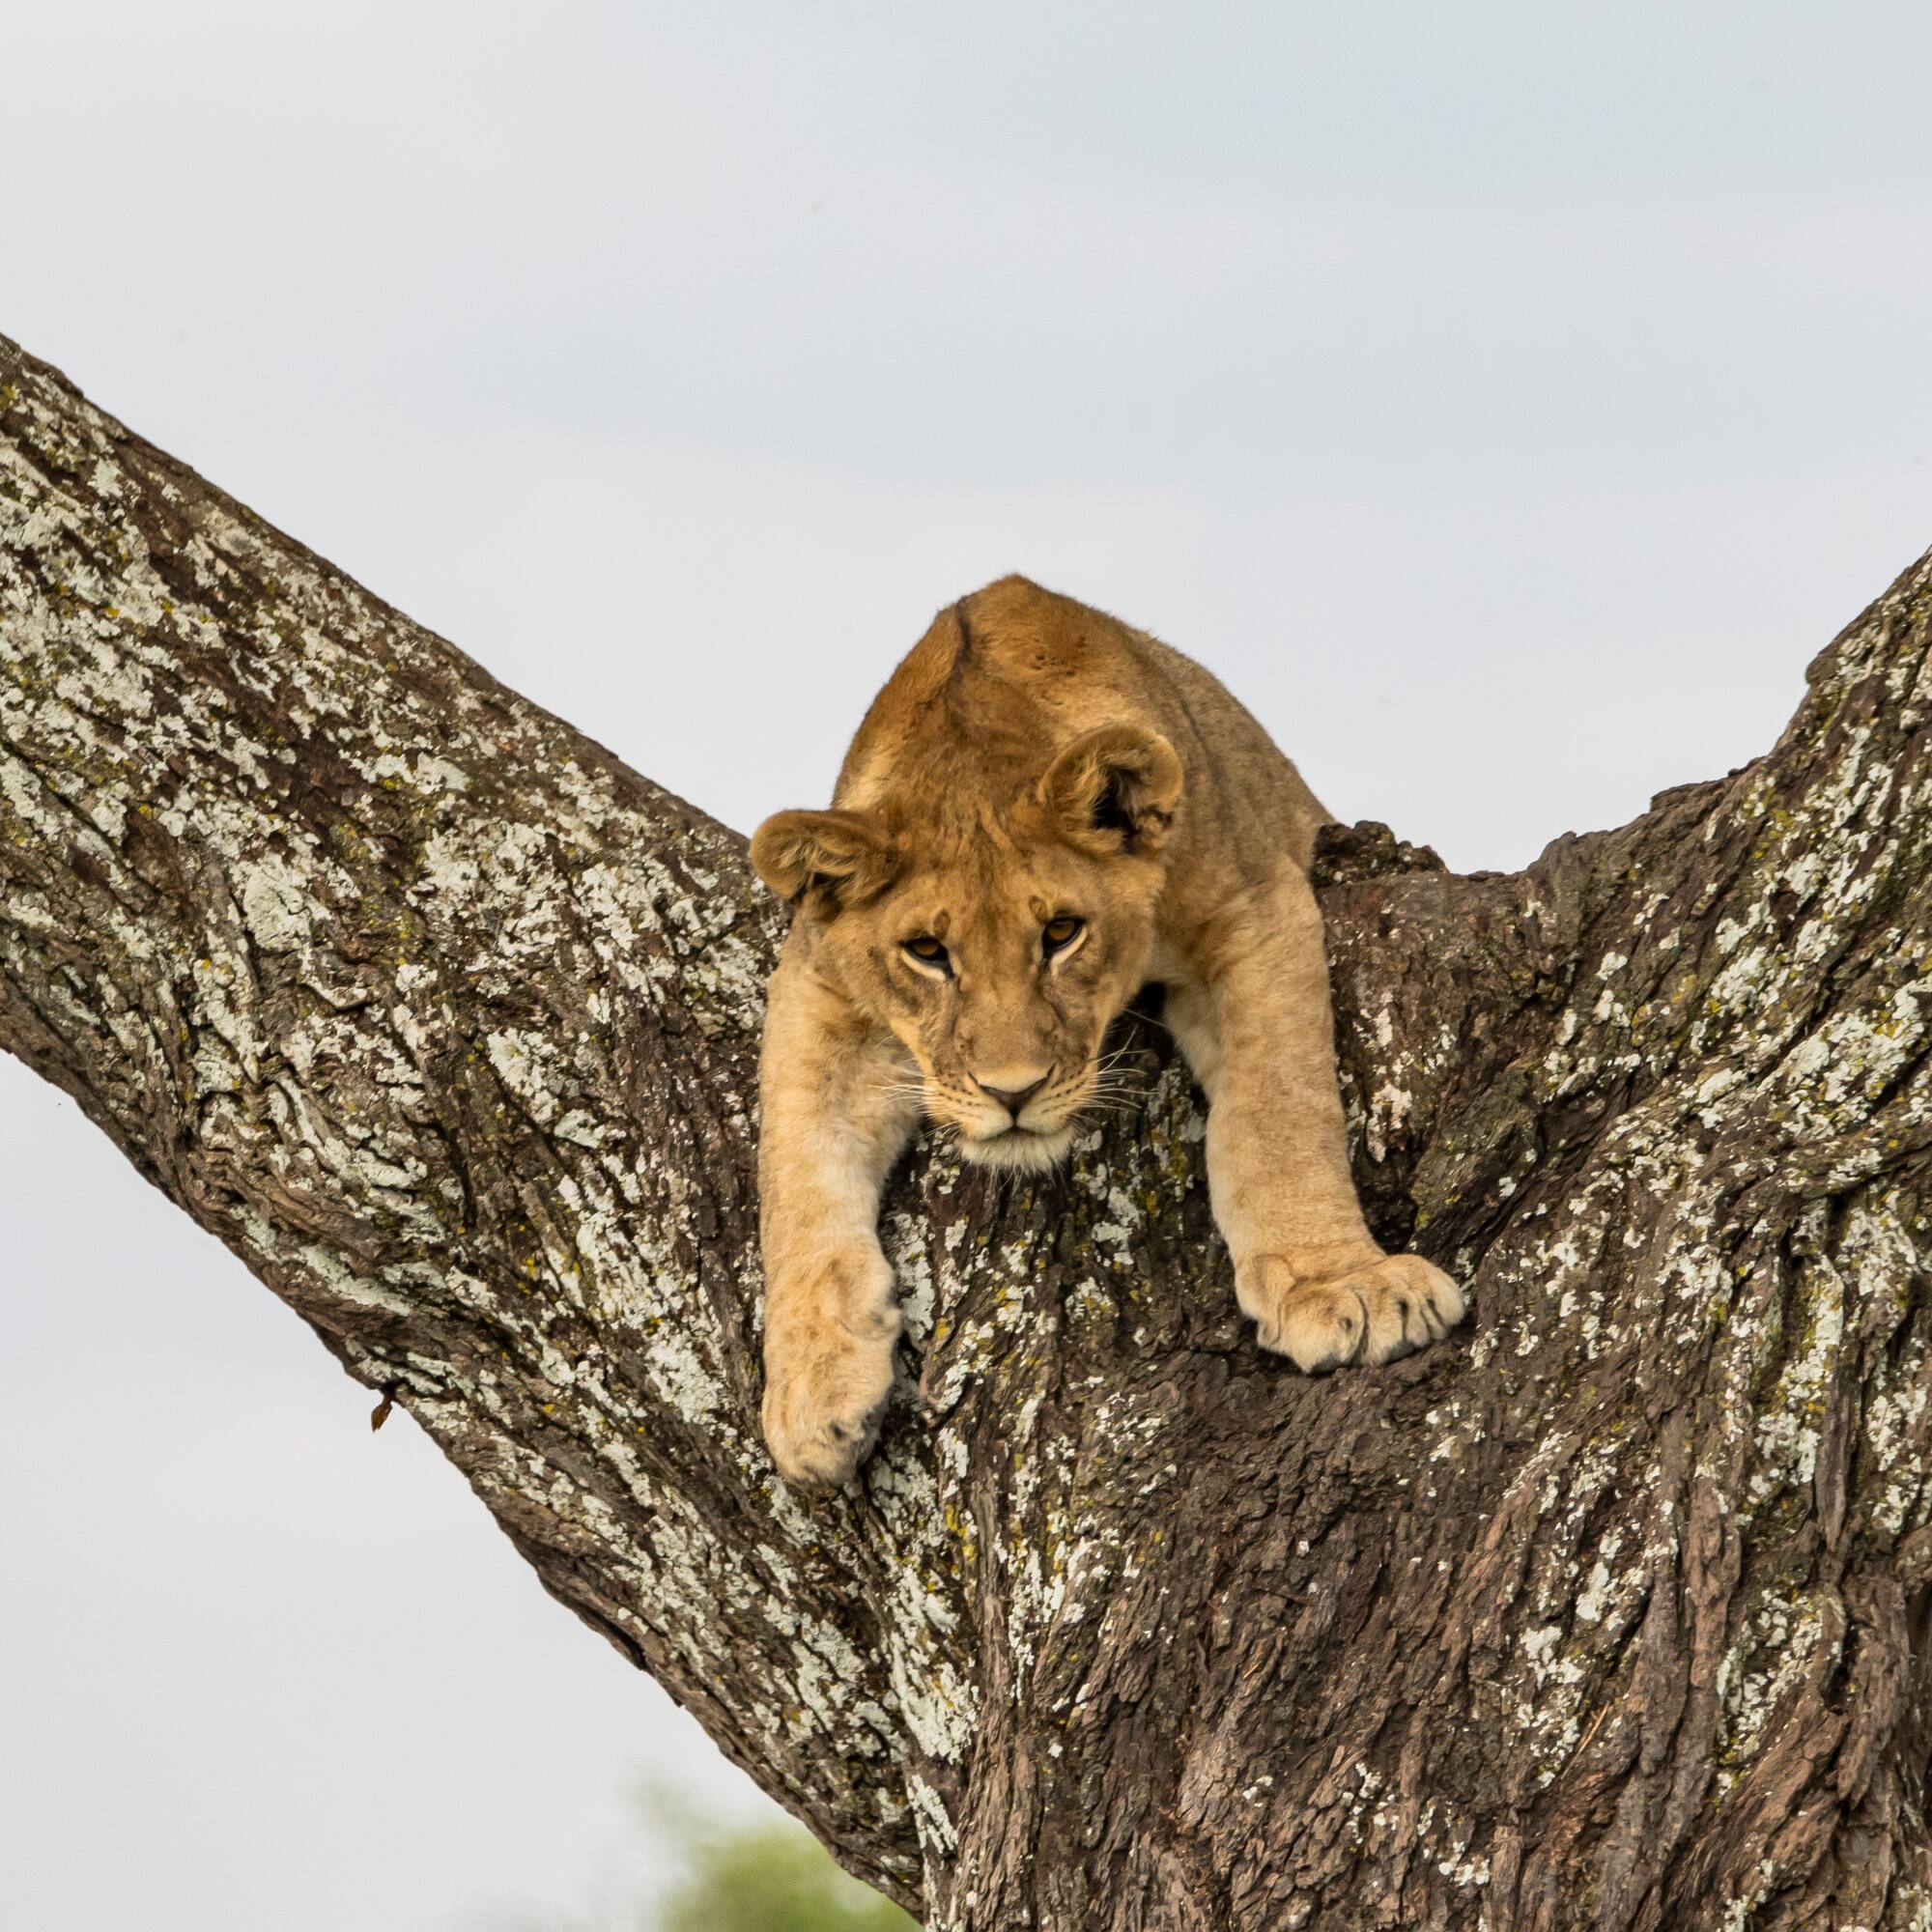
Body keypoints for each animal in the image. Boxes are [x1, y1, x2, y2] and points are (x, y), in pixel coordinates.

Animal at [749, 575, 1464, 1486]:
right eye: (927, 951)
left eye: (1061, 933)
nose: (1012, 1093)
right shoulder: (815, 983)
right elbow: (795, 1174)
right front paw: (809, 1394)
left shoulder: (1253, 903)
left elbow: (1279, 1111)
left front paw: (1343, 1287)